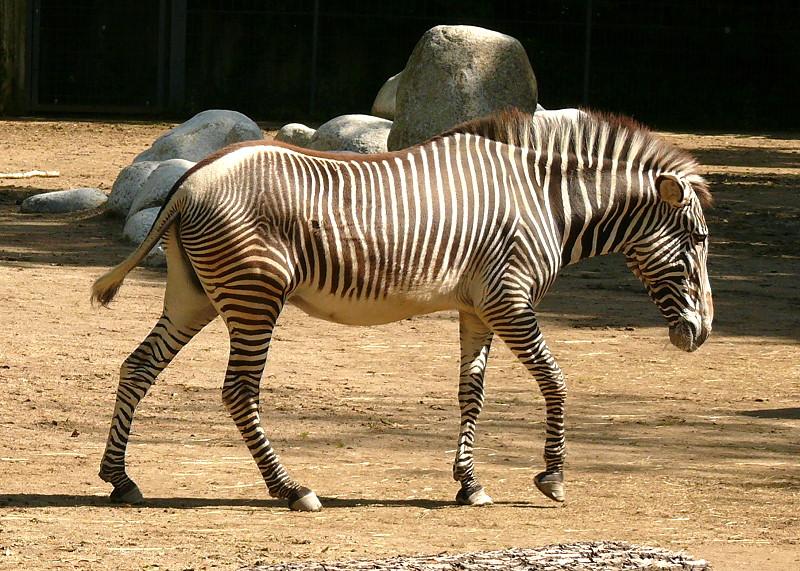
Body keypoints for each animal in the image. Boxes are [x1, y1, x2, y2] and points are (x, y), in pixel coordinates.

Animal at [92, 108, 712, 512]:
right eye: (696, 240)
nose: (701, 333)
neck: (546, 202)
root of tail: (191, 179)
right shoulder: (509, 300)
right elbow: (556, 380)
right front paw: (553, 478)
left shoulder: (478, 308)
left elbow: (471, 393)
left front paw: (469, 484)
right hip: (254, 295)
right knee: (239, 390)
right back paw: (291, 490)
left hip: (193, 295)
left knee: (138, 366)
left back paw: (120, 479)